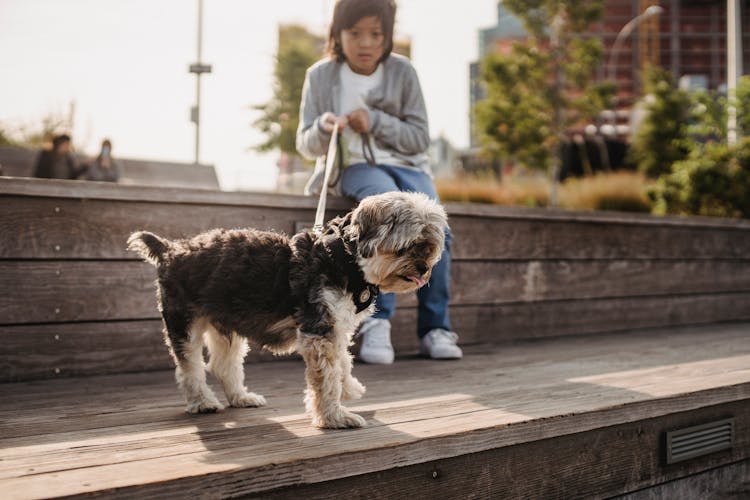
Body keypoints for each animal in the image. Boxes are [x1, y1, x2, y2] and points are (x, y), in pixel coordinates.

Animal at [128, 193, 446, 428]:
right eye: (408, 246)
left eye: (429, 247)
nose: (424, 267)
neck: (343, 258)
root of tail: (171, 250)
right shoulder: (319, 331)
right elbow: (326, 377)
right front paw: (334, 417)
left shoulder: (336, 328)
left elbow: (343, 362)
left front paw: (348, 388)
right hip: (184, 323)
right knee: (190, 367)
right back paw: (203, 402)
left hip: (225, 324)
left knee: (222, 364)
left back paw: (241, 397)